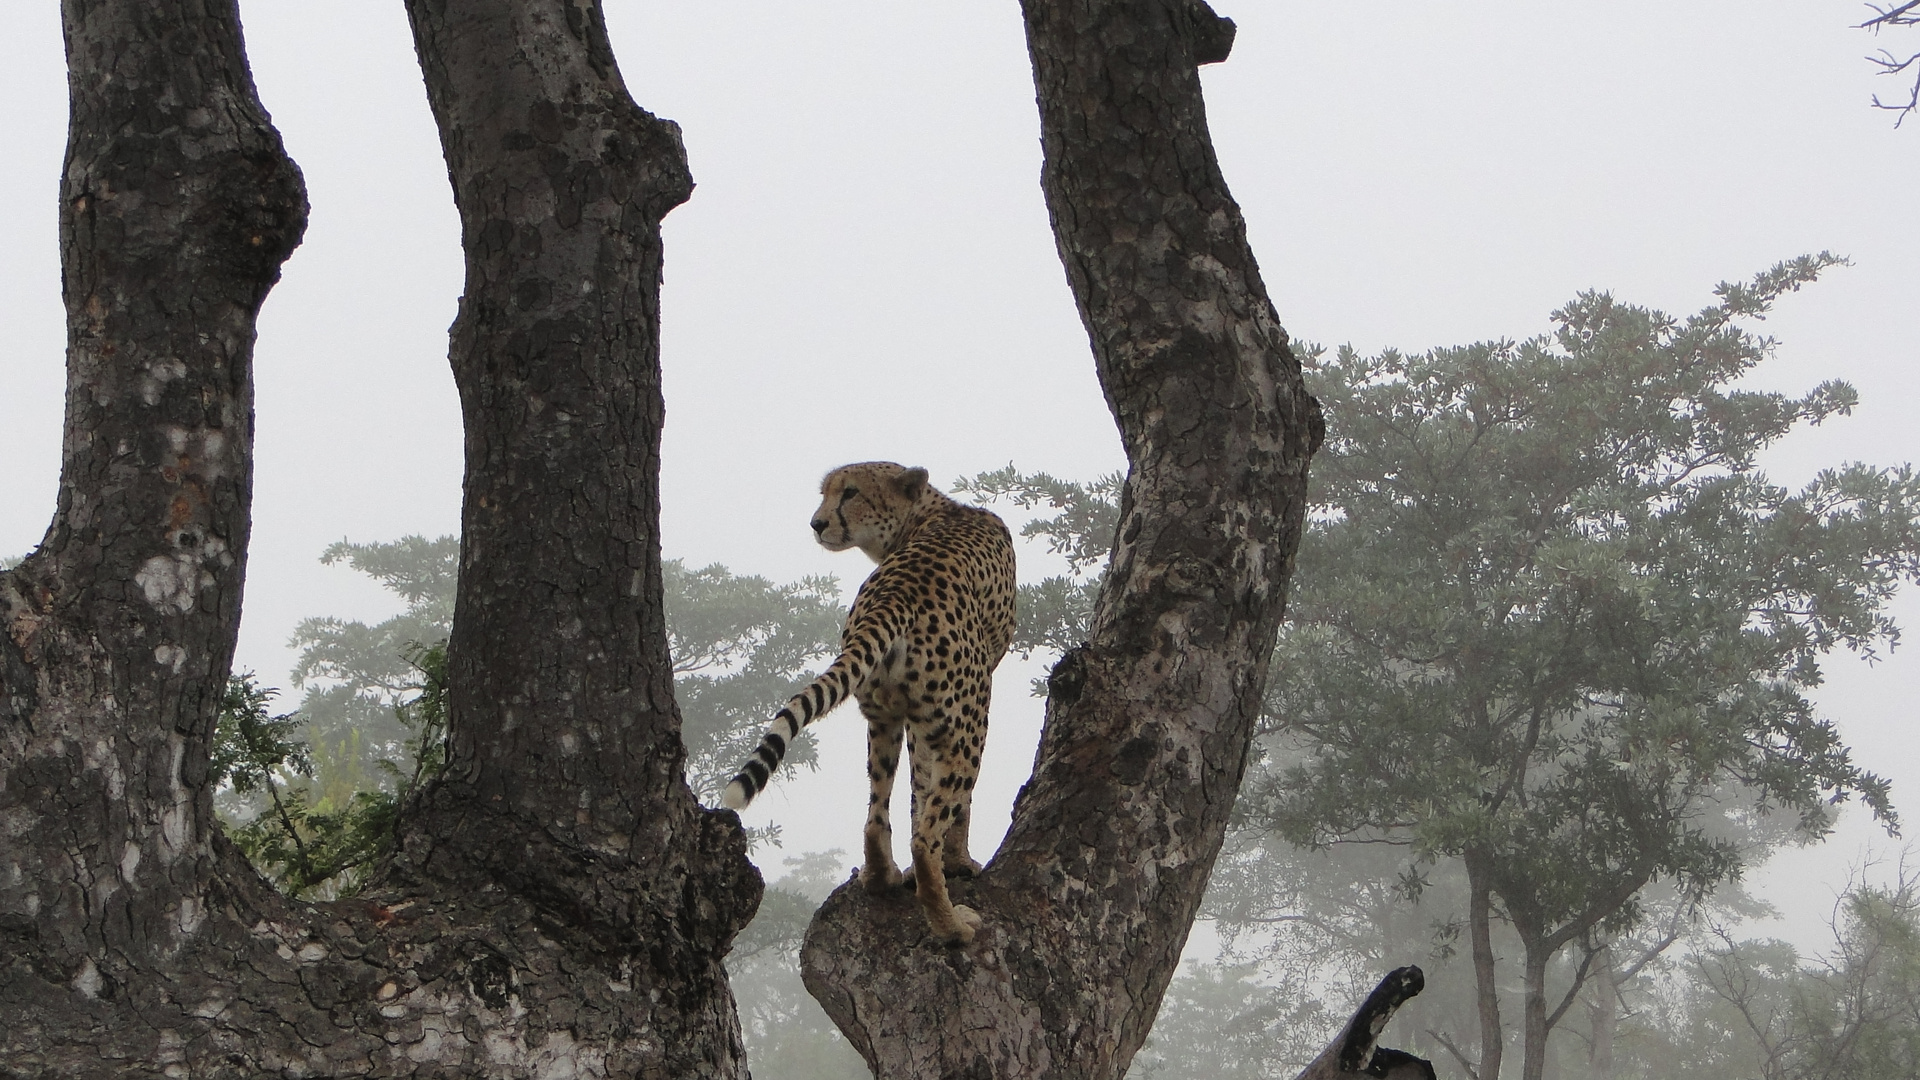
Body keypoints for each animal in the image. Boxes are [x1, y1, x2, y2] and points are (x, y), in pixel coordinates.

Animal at [721, 461, 1021, 941]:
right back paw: (953, 925)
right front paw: (960, 863)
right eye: (828, 494)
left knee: (876, 815)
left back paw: (881, 877)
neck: (926, 513)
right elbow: (946, 807)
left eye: (850, 493)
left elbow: (918, 788)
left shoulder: (915, 721)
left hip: (883, 716)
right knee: (925, 837)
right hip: (969, 726)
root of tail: (893, 593)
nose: (817, 523)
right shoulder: (971, 697)